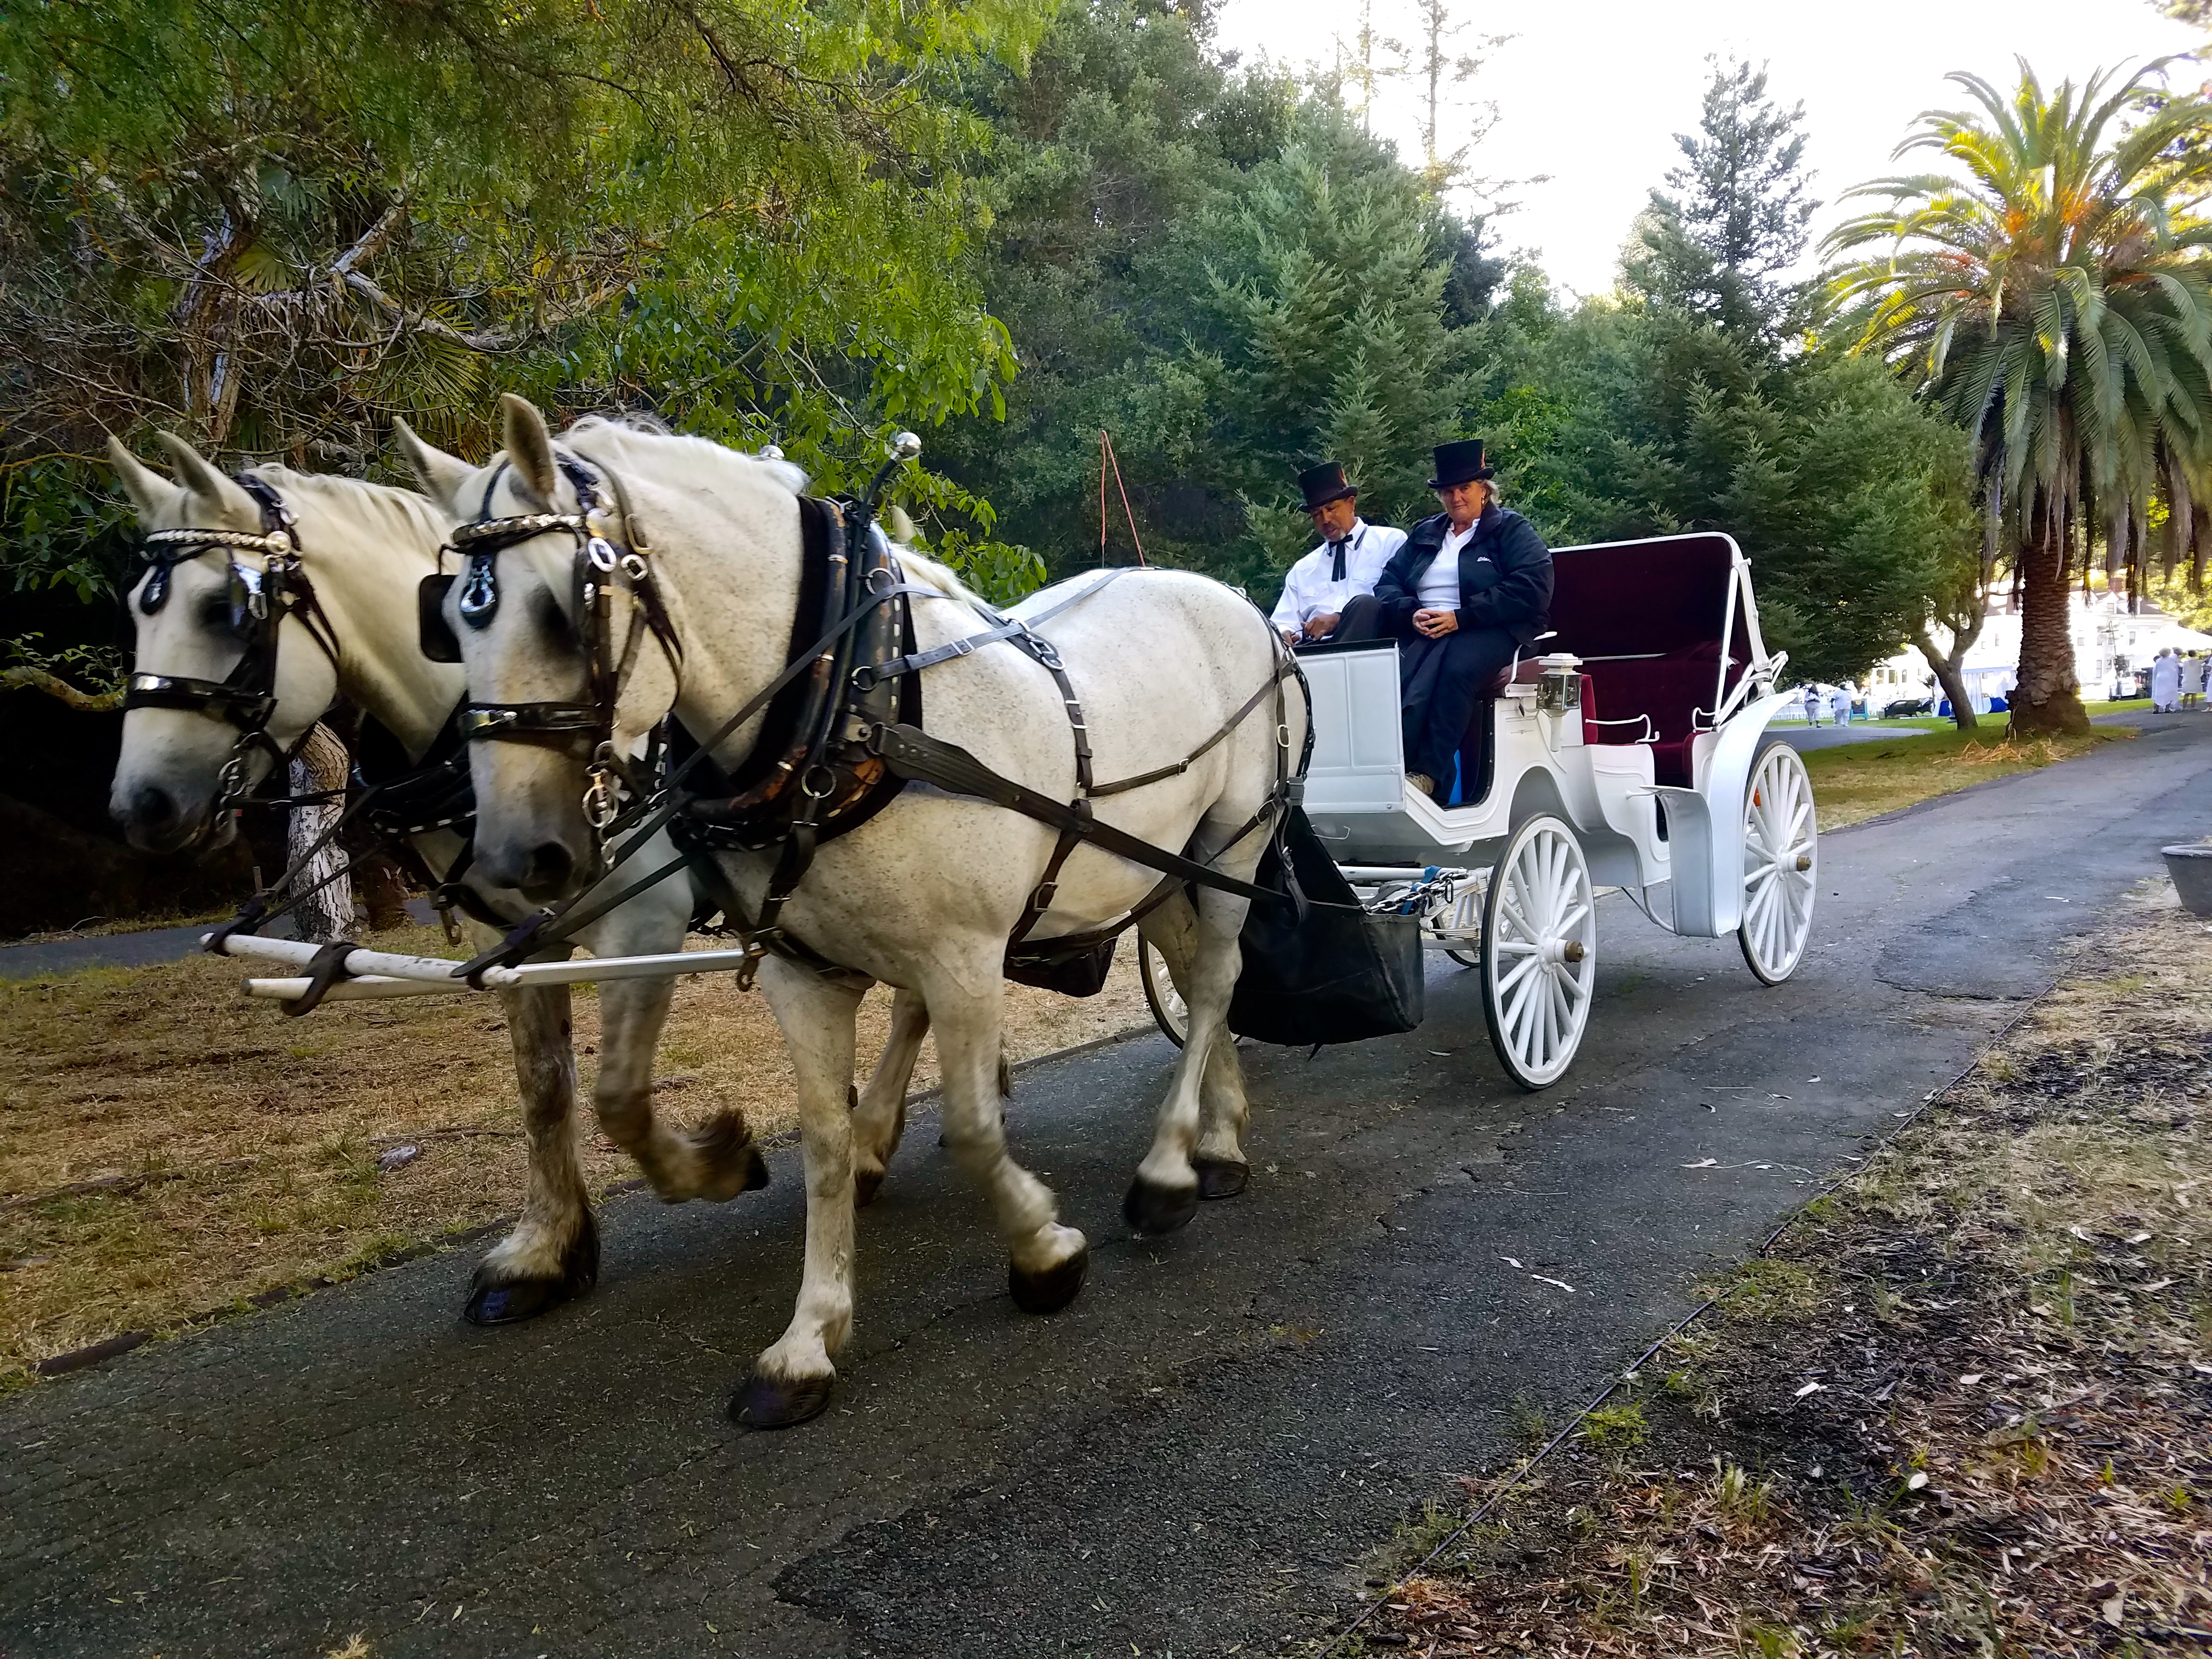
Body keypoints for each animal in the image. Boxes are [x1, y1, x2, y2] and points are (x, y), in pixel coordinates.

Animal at [101, 438, 933, 1327]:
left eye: (225, 610)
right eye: (136, 611)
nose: (140, 806)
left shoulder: (643, 920)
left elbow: (617, 1095)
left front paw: (716, 1165)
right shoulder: (513, 937)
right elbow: (543, 1088)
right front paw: (544, 1251)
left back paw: (872, 1139)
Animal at [400, 400, 1300, 1433]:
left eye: (559, 606)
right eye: (444, 622)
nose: (518, 856)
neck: (851, 706)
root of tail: (1239, 604)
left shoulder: (963, 957)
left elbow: (973, 1126)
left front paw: (1043, 1251)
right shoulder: (804, 971)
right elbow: (825, 1145)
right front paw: (807, 1338)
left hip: (1233, 843)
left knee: (1217, 978)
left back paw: (1169, 1171)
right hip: (1149, 867)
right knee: (1192, 974)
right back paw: (1217, 1138)